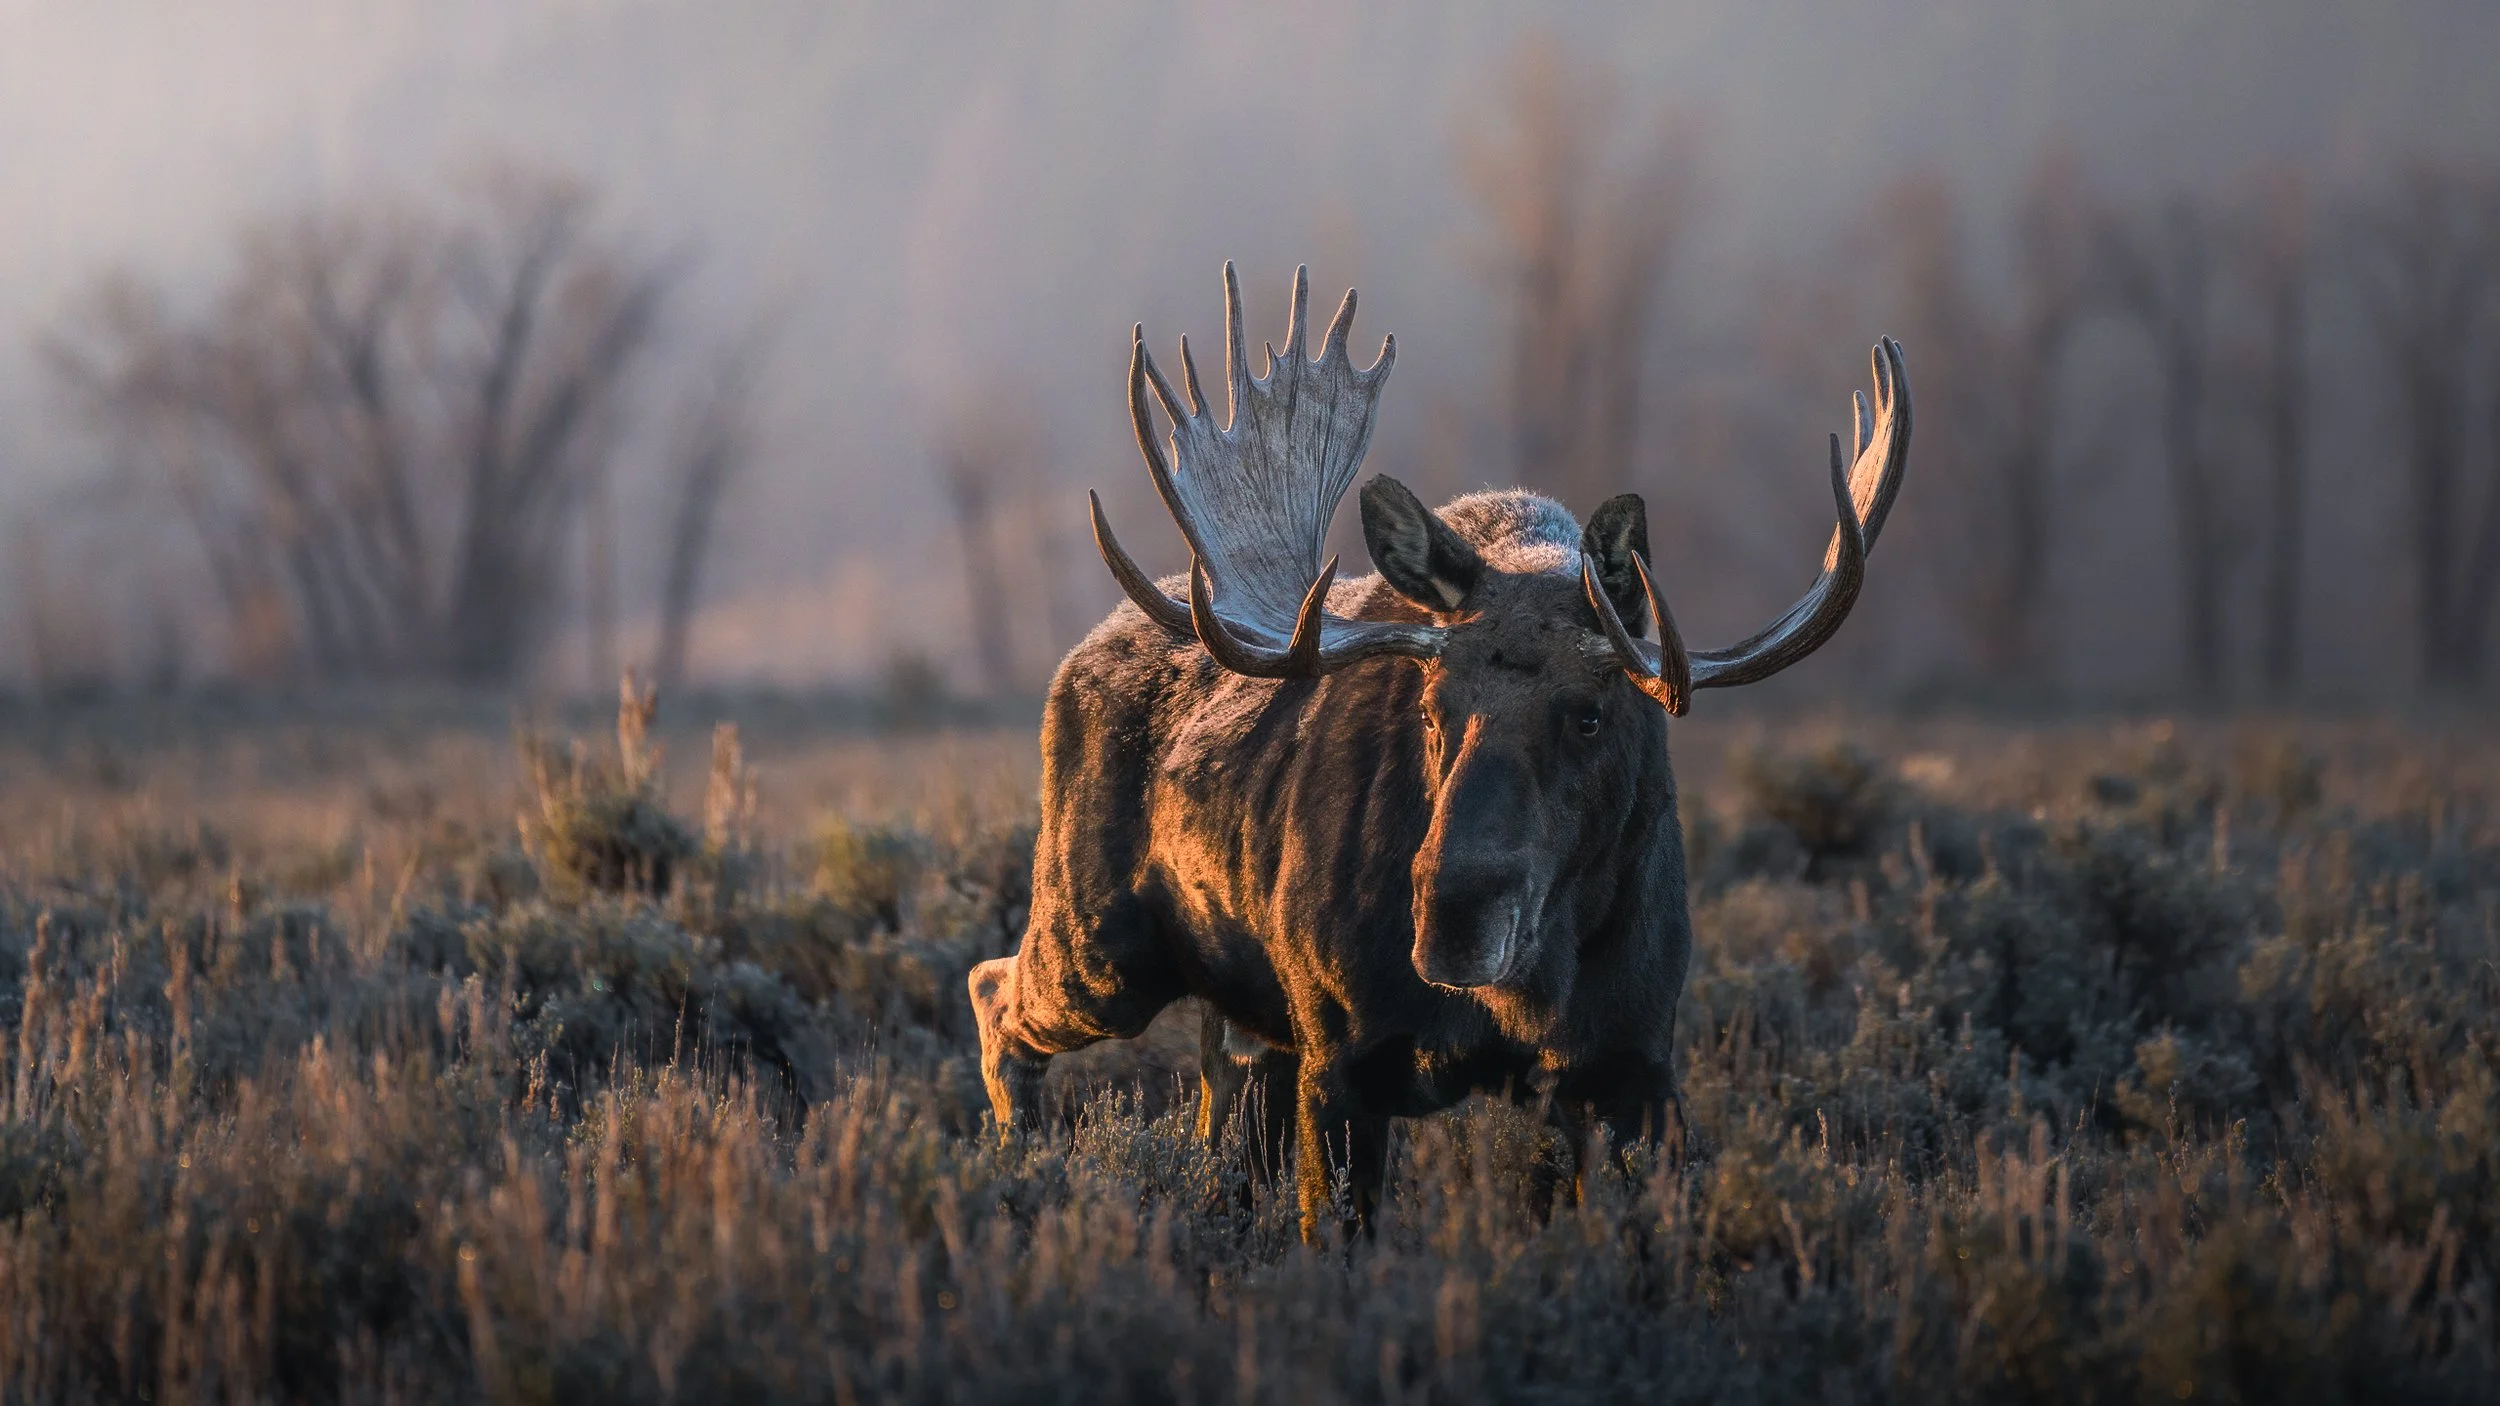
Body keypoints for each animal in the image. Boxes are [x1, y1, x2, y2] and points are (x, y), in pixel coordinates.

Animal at [969, 265, 1909, 1241]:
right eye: (1432, 710)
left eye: (1589, 716)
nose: (1454, 917)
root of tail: (1074, 661)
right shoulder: (1341, 1060)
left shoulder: (1636, 1068)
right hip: (1101, 947)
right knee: (994, 991)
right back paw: (1015, 1168)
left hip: (1235, 1015)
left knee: (1218, 1101)